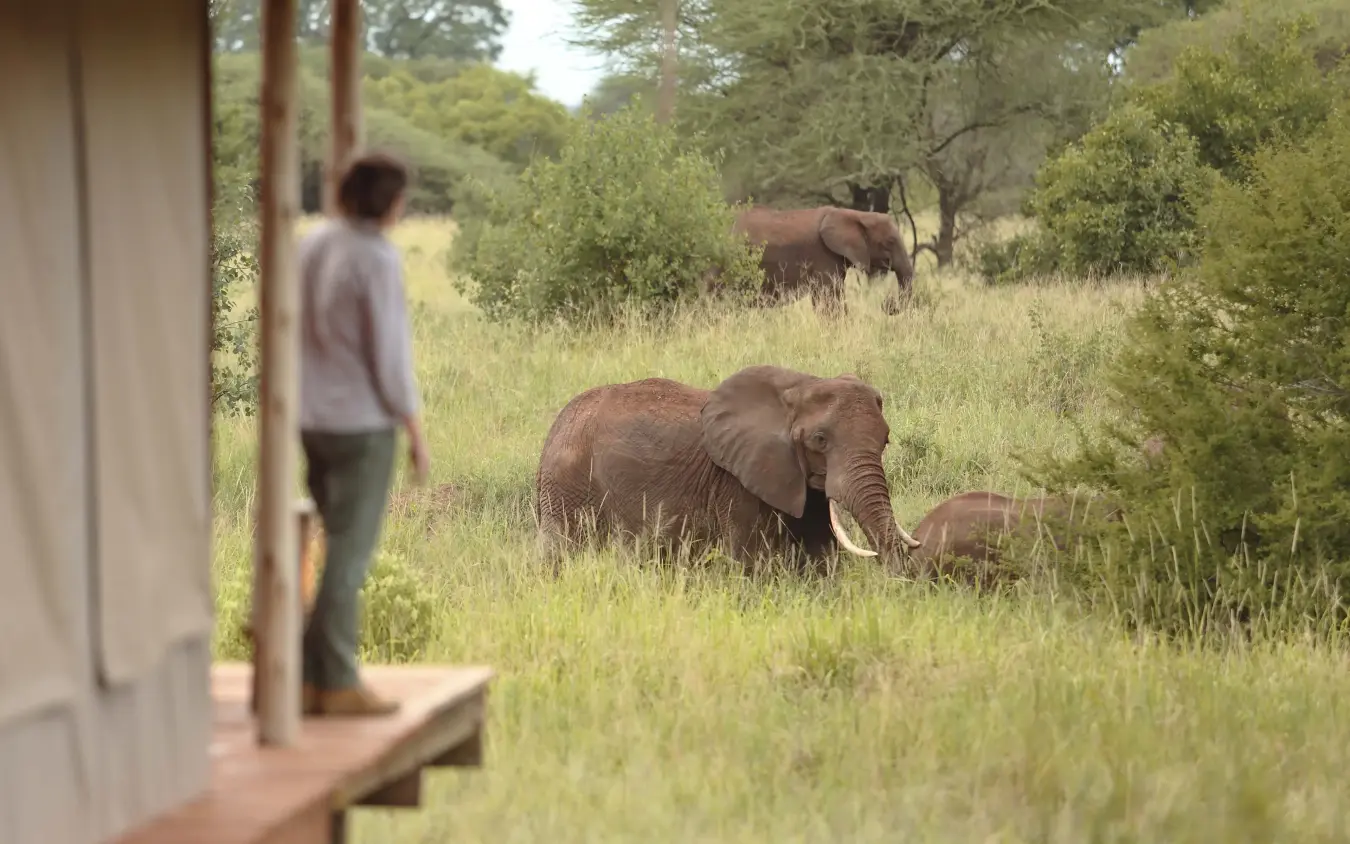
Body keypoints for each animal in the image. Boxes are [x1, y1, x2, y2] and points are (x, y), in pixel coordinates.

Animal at [534, 364, 924, 574]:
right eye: (820, 440)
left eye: (885, 440)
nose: (900, 579)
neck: (801, 385)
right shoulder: (735, 481)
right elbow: (748, 558)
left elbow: (819, 556)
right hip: (567, 484)